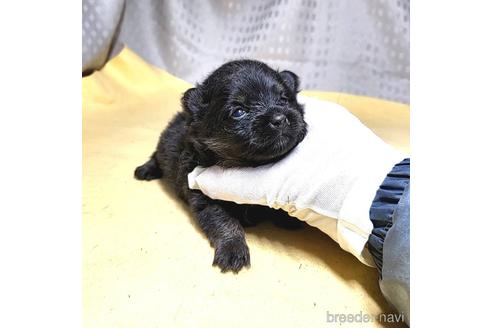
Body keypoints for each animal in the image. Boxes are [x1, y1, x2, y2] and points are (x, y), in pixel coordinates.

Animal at [135, 59, 308, 272]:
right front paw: (233, 249)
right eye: (239, 112)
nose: (280, 118)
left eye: (284, 99)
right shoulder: (204, 196)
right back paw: (145, 170)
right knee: (155, 157)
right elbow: (224, 221)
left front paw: (287, 218)